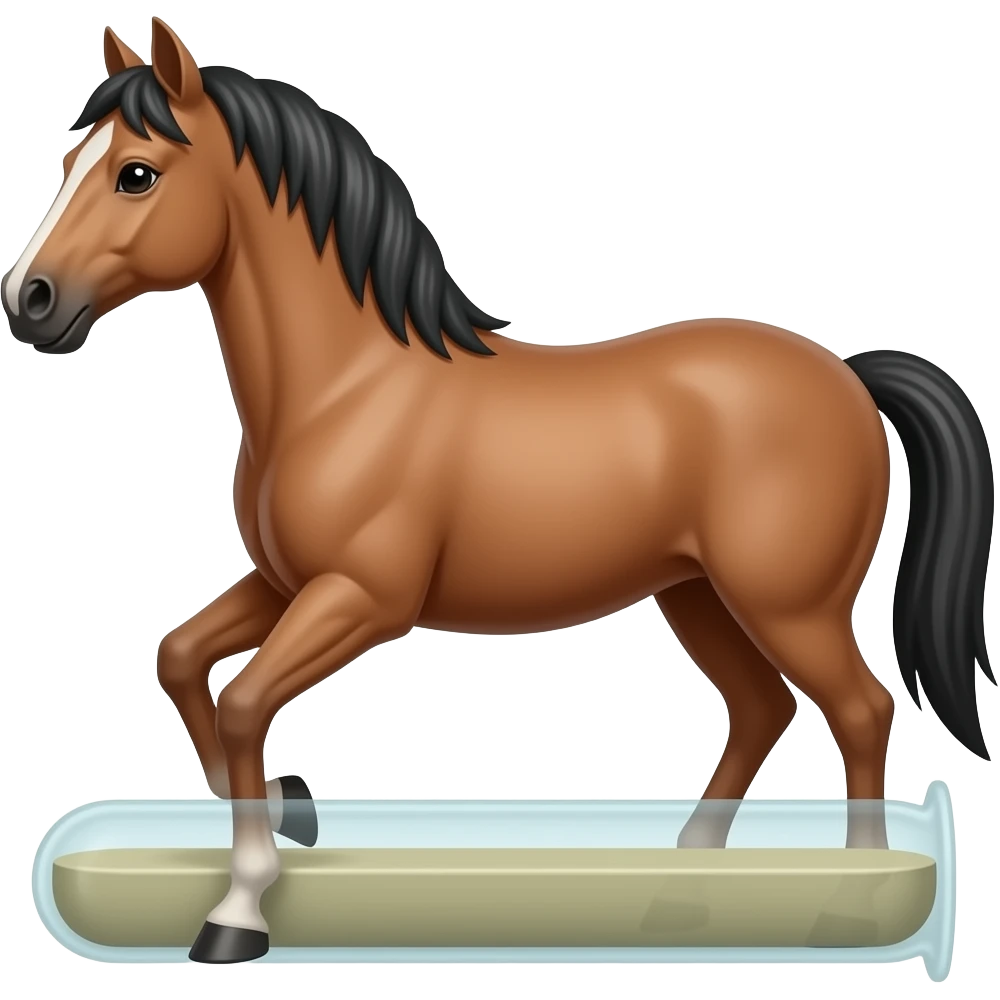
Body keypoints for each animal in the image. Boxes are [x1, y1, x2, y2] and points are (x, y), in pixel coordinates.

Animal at [2, 18, 993, 966]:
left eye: (135, 174)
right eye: (66, 164)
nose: (30, 301)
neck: (347, 389)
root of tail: (849, 376)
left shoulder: (362, 599)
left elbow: (243, 703)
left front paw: (239, 911)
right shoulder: (288, 586)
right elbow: (179, 659)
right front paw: (290, 804)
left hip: (788, 604)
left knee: (859, 713)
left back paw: (846, 905)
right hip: (697, 595)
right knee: (761, 711)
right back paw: (680, 898)